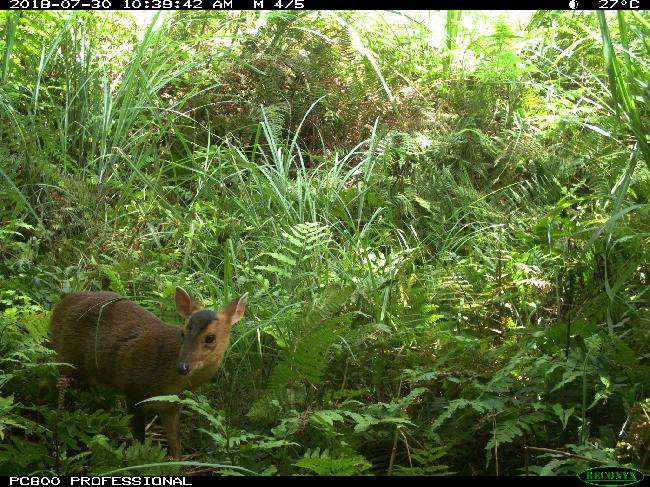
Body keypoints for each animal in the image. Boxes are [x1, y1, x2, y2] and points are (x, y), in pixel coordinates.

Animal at [49, 288, 247, 460]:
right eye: (183, 333)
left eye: (210, 338)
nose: (182, 367)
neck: (169, 383)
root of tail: (58, 307)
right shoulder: (133, 390)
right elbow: (139, 440)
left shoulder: (171, 405)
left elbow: (175, 444)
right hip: (67, 359)